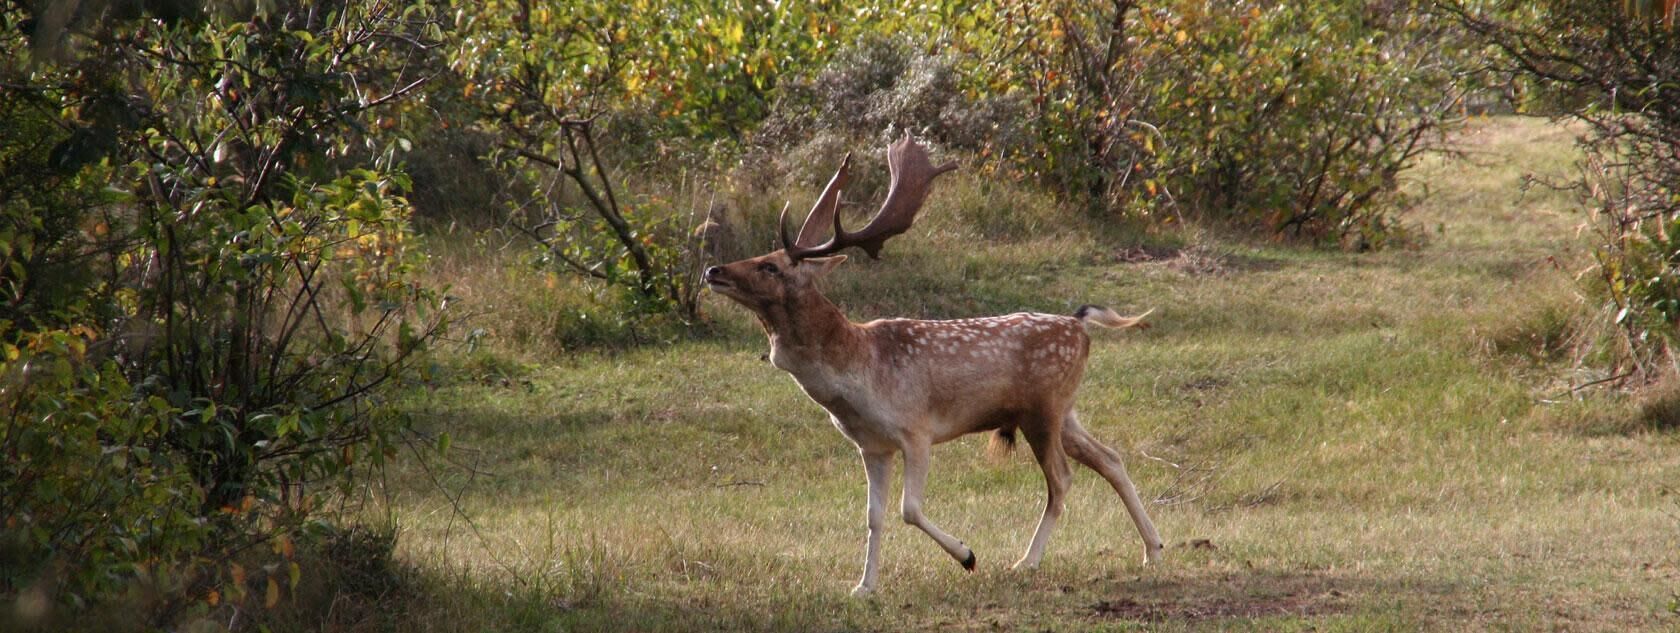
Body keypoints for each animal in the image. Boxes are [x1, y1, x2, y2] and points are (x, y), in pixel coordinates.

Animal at [702, 135, 1164, 596]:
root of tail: (1079, 324)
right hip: (1061, 411)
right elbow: (873, 517)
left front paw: (968, 555)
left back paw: (1027, 561)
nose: (713, 269)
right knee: (1110, 458)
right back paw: (1153, 548)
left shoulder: (916, 430)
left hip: (1044, 409)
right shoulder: (872, 445)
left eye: (770, 266)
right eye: (761, 255)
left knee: (1062, 479)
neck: (856, 374)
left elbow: (909, 509)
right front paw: (864, 587)